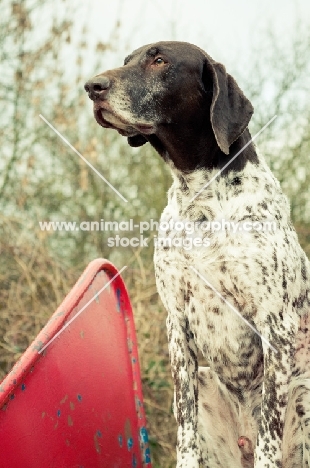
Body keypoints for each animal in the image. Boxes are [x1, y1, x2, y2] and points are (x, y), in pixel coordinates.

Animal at [85, 42, 310, 466]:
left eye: (160, 61)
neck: (200, 198)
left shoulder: (276, 324)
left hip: (304, 394)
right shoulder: (177, 322)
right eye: (126, 62)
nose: (92, 86)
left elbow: (270, 430)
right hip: (207, 383)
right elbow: (184, 425)